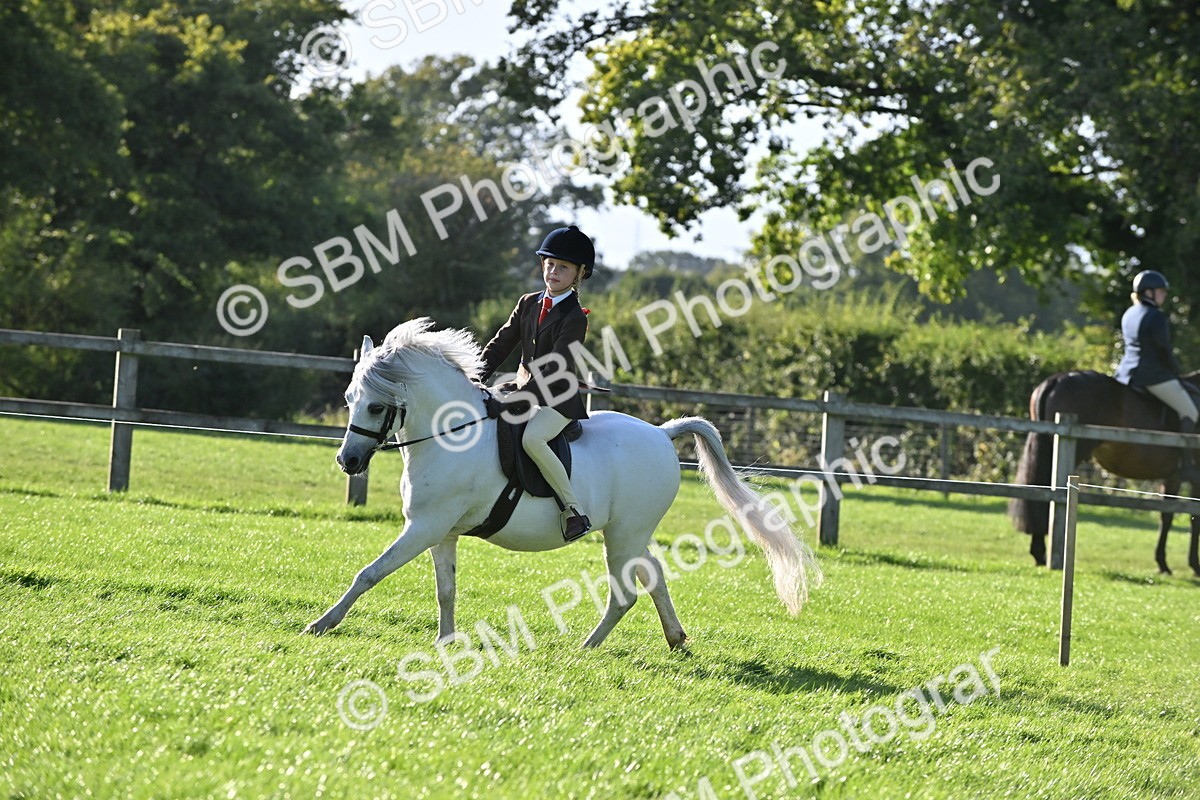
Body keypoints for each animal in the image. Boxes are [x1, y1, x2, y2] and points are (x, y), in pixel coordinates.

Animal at [303, 318, 823, 648]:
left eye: (375, 405)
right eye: (349, 398)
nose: (348, 461)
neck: (451, 434)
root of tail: (661, 433)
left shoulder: (425, 527)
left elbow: (370, 573)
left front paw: (323, 623)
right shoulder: (441, 532)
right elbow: (445, 589)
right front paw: (446, 641)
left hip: (622, 535)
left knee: (626, 592)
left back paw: (588, 647)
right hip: (630, 533)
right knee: (653, 576)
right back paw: (675, 640)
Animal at [1008, 369, 1200, 576]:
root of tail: (1056, 379)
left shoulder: (1172, 478)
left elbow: (1167, 516)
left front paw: (1162, 563)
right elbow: (1194, 519)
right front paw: (1194, 566)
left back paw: (1038, 553)